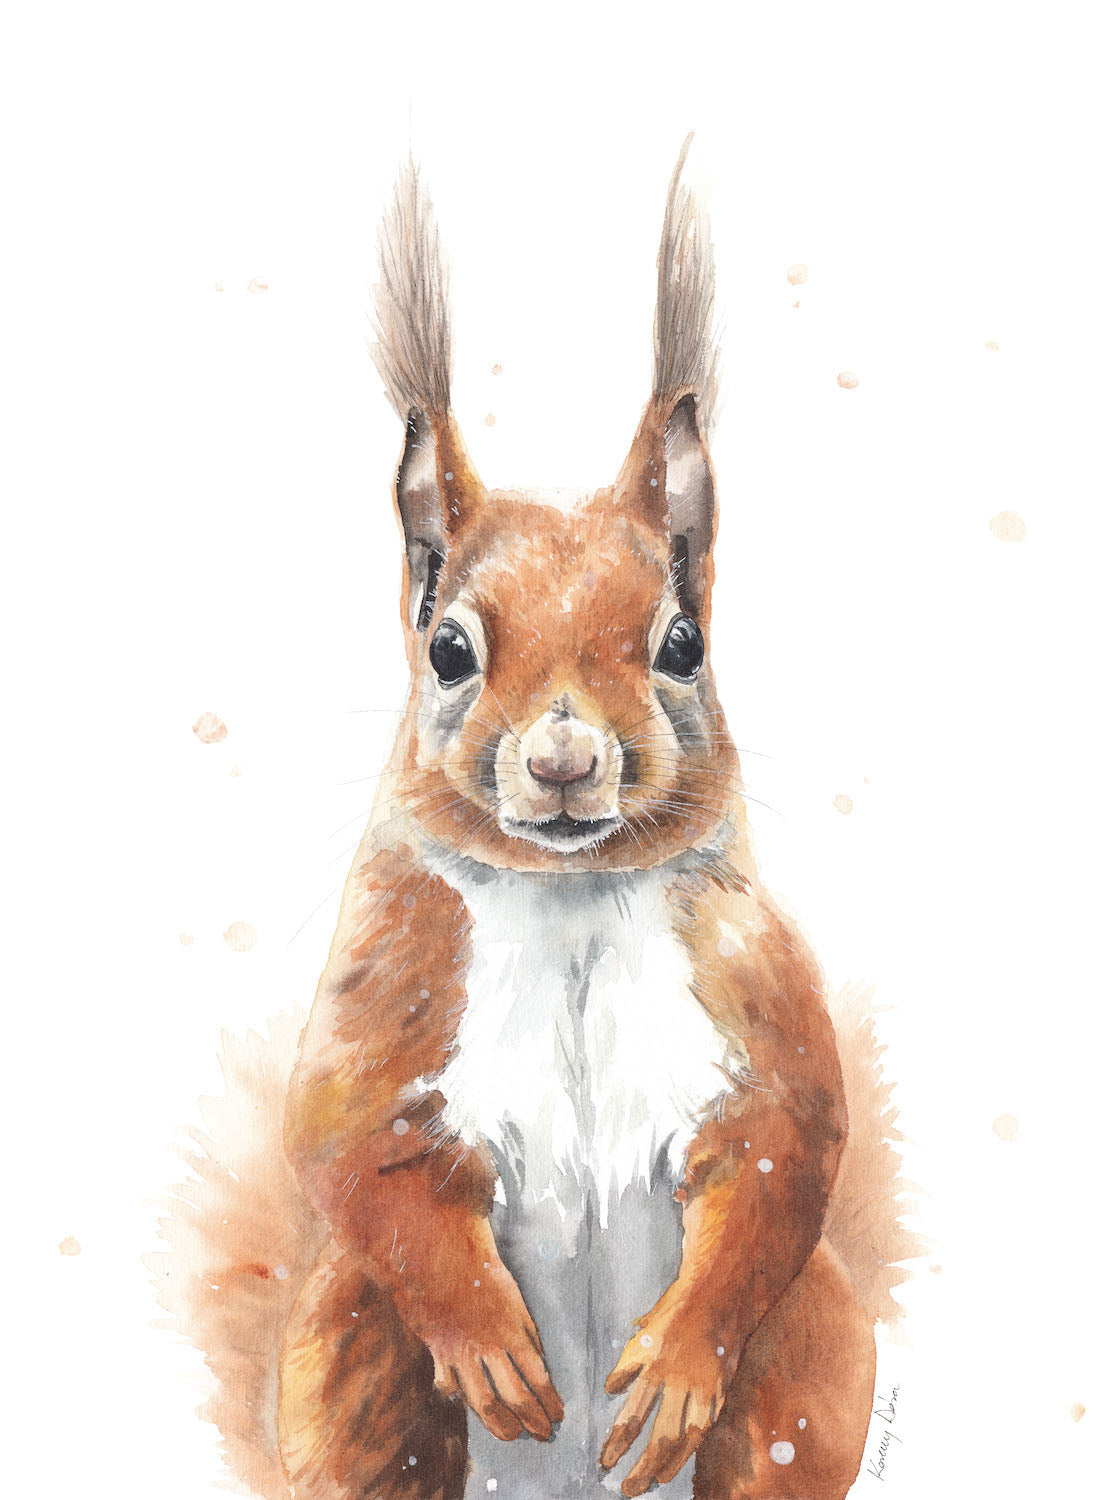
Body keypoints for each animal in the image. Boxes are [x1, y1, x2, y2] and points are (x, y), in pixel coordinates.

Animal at [153, 141, 917, 1500]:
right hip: (347, 1341)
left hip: (812, 1348)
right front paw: (489, 1344)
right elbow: (353, 1154)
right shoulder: (383, 1003)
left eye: (683, 643)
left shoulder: (754, 996)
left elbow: (785, 1151)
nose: (565, 760)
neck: (573, 907)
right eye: (450, 650)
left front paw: (672, 1367)